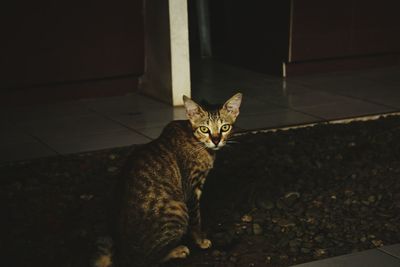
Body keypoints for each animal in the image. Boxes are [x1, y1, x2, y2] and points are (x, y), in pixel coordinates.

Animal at [95, 93, 242, 266]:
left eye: (225, 127)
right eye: (204, 129)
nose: (216, 140)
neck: (196, 140)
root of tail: (122, 253)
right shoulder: (191, 189)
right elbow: (196, 219)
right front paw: (200, 240)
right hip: (178, 208)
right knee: (148, 260)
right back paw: (177, 250)